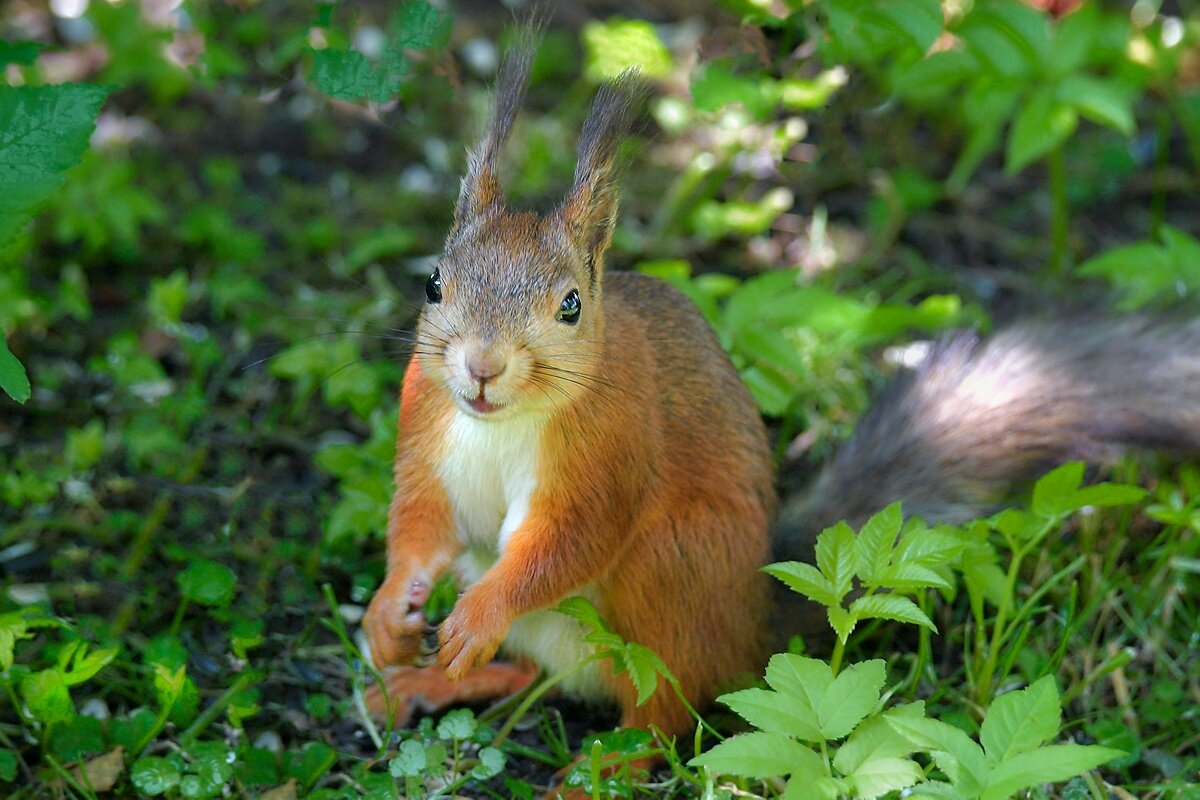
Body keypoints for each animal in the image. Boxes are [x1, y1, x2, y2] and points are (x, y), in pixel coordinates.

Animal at [357, 35, 1200, 738]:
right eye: (434, 283)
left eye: (569, 305)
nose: (481, 367)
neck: (501, 421)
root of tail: (749, 629)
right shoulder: (424, 422)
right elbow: (420, 522)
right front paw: (388, 615)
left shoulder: (614, 444)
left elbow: (571, 541)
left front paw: (479, 614)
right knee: (536, 676)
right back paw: (426, 682)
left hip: (669, 570)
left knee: (662, 714)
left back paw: (594, 768)